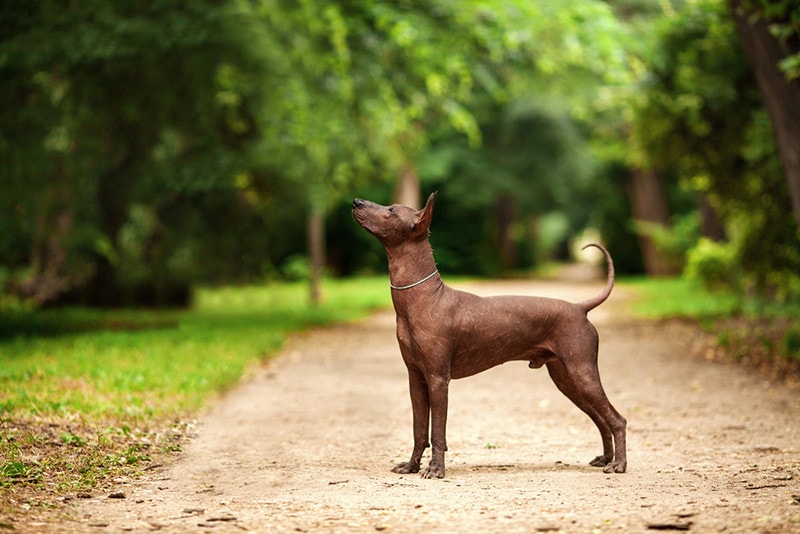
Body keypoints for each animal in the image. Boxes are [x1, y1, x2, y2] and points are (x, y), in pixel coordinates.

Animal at [354, 194, 628, 482]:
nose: (356, 201)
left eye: (391, 211)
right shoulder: (416, 378)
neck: (423, 297)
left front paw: (436, 469)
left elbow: (437, 431)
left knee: (617, 419)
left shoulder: (438, 379)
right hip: (566, 380)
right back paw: (606, 459)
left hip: (582, 373)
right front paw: (411, 466)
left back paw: (618, 464)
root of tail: (580, 308)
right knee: (601, 420)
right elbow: (419, 429)